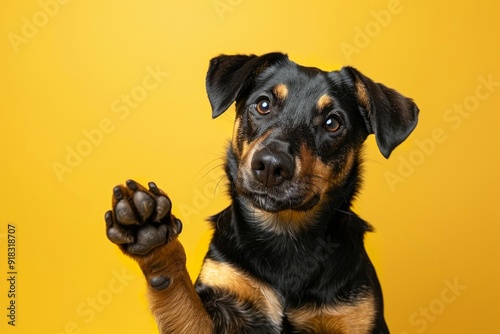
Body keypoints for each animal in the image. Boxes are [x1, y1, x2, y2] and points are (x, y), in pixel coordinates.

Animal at [104, 52, 418, 334]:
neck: (285, 236)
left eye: (332, 123)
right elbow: (180, 298)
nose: (270, 165)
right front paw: (152, 236)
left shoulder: (356, 316)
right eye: (263, 105)